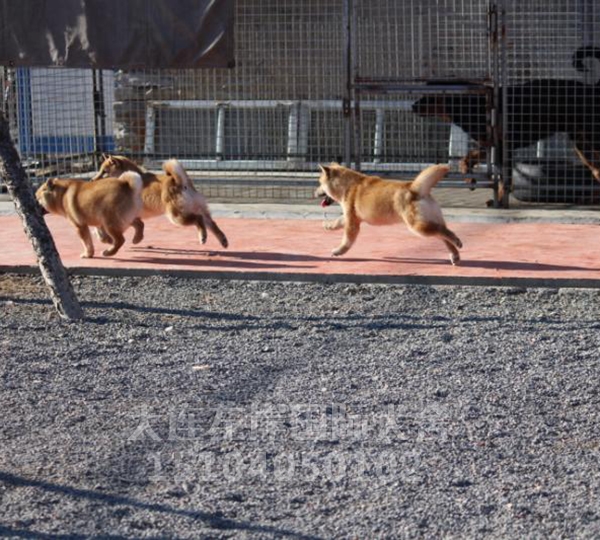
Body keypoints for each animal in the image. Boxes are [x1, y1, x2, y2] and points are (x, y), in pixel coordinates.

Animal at [92, 154, 229, 249]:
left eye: (104, 172)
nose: (92, 180)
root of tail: (181, 182)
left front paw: (105, 238)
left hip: (176, 216)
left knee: (198, 219)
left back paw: (203, 236)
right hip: (197, 209)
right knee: (212, 224)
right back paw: (223, 240)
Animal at [314, 165, 464, 266]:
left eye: (320, 183)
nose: (314, 193)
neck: (349, 186)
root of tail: (415, 188)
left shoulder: (352, 223)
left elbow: (347, 240)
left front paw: (338, 251)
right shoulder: (351, 217)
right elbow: (338, 221)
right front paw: (328, 226)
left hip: (417, 227)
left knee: (443, 232)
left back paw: (457, 242)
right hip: (428, 222)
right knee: (443, 235)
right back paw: (454, 255)